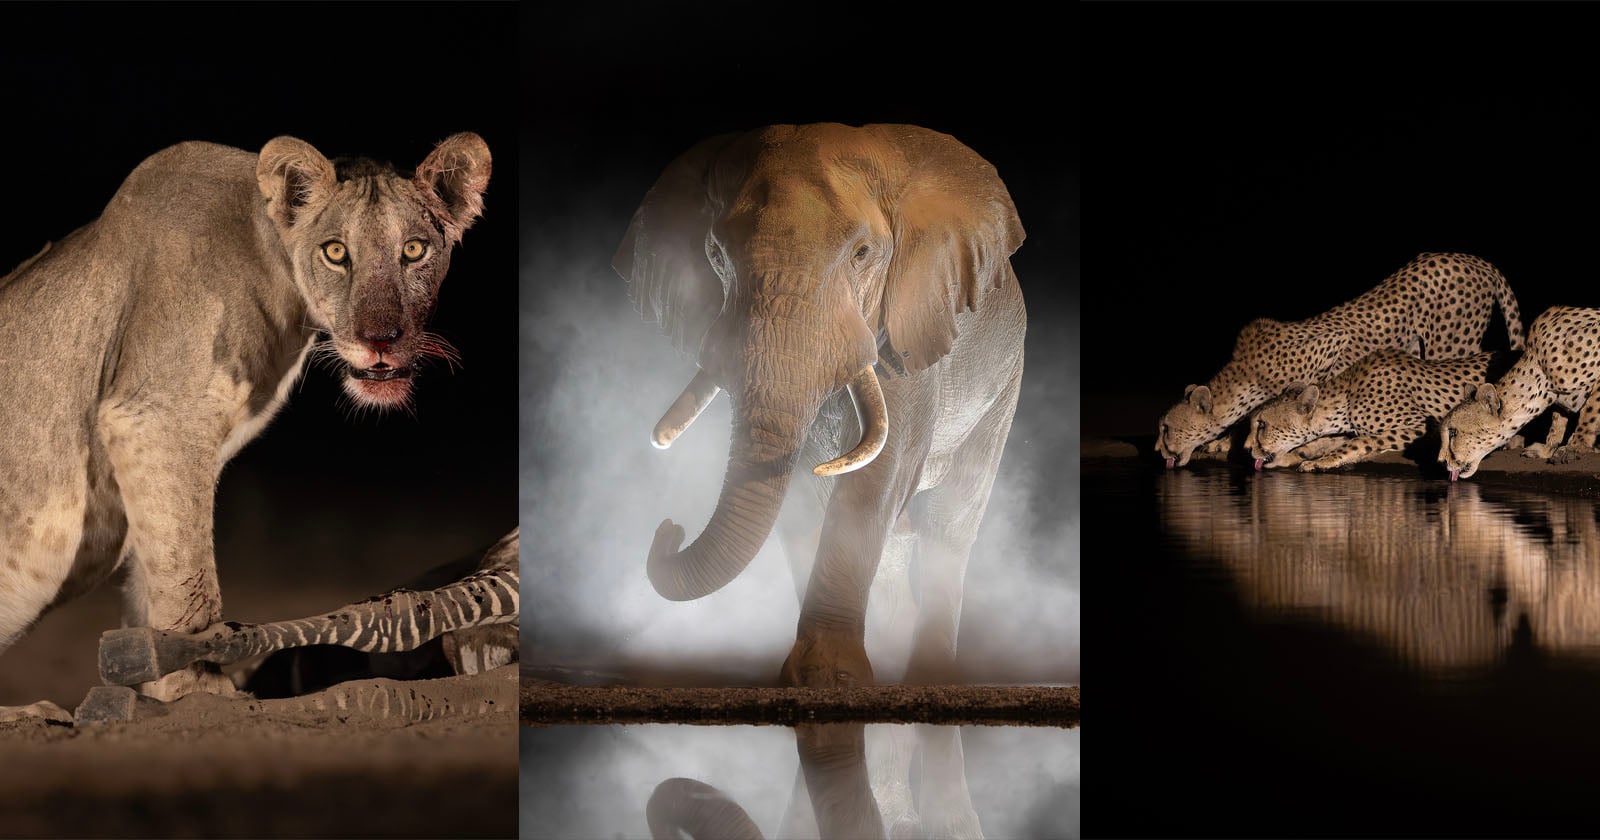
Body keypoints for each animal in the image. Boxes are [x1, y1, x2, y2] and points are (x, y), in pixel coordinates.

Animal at [613, 122, 1028, 687]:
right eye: (716, 255)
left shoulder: (910, 322)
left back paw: (928, 677)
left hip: (1001, 391)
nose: (670, 529)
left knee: (949, 526)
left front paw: (831, 677)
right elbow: (802, 489)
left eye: (863, 253)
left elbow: (883, 470)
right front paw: (813, 676)